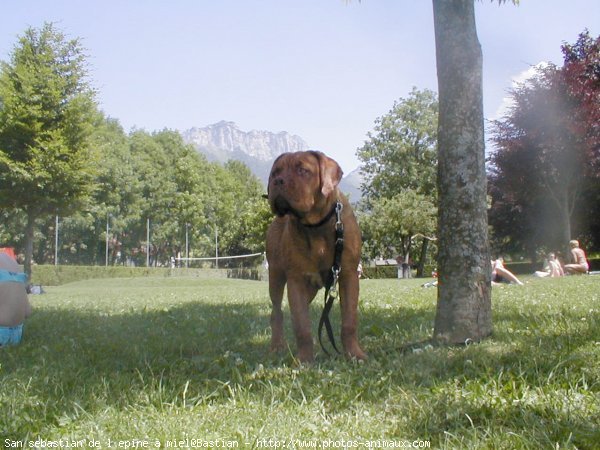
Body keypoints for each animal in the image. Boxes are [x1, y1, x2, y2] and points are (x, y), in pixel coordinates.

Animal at [266, 151, 366, 362]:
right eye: (275, 172)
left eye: (303, 170)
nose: (278, 181)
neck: (316, 226)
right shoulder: (296, 280)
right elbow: (302, 325)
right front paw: (304, 360)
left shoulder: (348, 276)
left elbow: (349, 322)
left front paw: (354, 354)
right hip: (276, 277)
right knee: (276, 312)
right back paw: (277, 346)